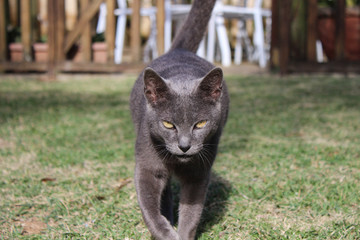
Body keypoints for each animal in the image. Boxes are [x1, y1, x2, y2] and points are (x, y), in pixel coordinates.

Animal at [131, 0, 229, 238]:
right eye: (168, 124)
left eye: (200, 123)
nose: (184, 146)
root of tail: (179, 50)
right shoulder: (147, 166)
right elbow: (150, 212)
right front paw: (167, 232)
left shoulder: (199, 172)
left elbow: (191, 214)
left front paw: (182, 233)